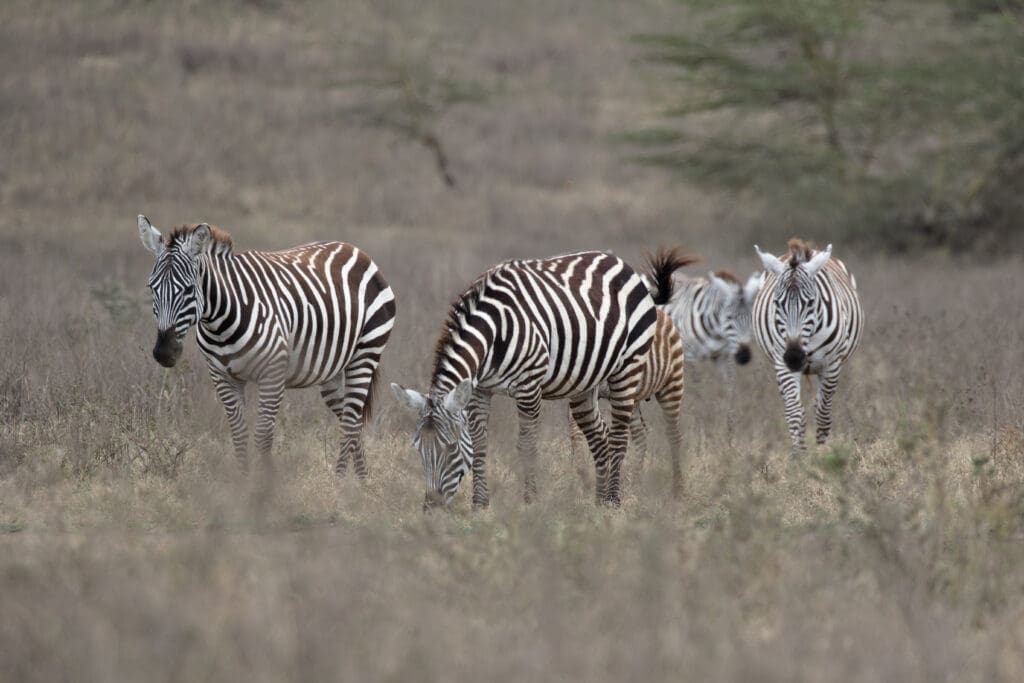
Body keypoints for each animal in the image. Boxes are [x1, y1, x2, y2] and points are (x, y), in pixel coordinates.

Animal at [136, 215, 396, 475]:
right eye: (151, 287)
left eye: (189, 289)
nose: (164, 353)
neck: (220, 321)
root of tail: (355, 250)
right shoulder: (222, 376)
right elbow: (239, 434)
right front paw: (242, 481)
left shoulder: (272, 373)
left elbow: (262, 436)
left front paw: (266, 484)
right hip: (332, 370)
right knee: (351, 421)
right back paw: (360, 481)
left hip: (365, 353)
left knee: (351, 421)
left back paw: (341, 481)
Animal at [390, 250, 659, 509]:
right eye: (418, 449)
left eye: (451, 447)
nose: (431, 508)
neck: (493, 332)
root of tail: (619, 261)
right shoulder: (480, 390)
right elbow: (479, 443)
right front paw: (480, 503)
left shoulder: (529, 388)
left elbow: (527, 445)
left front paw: (530, 501)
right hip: (584, 384)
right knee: (600, 436)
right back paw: (599, 501)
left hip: (627, 369)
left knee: (619, 436)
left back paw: (613, 500)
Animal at [752, 239, 863, 452]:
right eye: (777, 303)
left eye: (811, 303)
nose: (794, 358)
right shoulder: (782, 363)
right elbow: (795, 414)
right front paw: (799, 457)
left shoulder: (831, 365)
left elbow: (823, 417)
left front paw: (821, 455)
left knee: (820, 407)